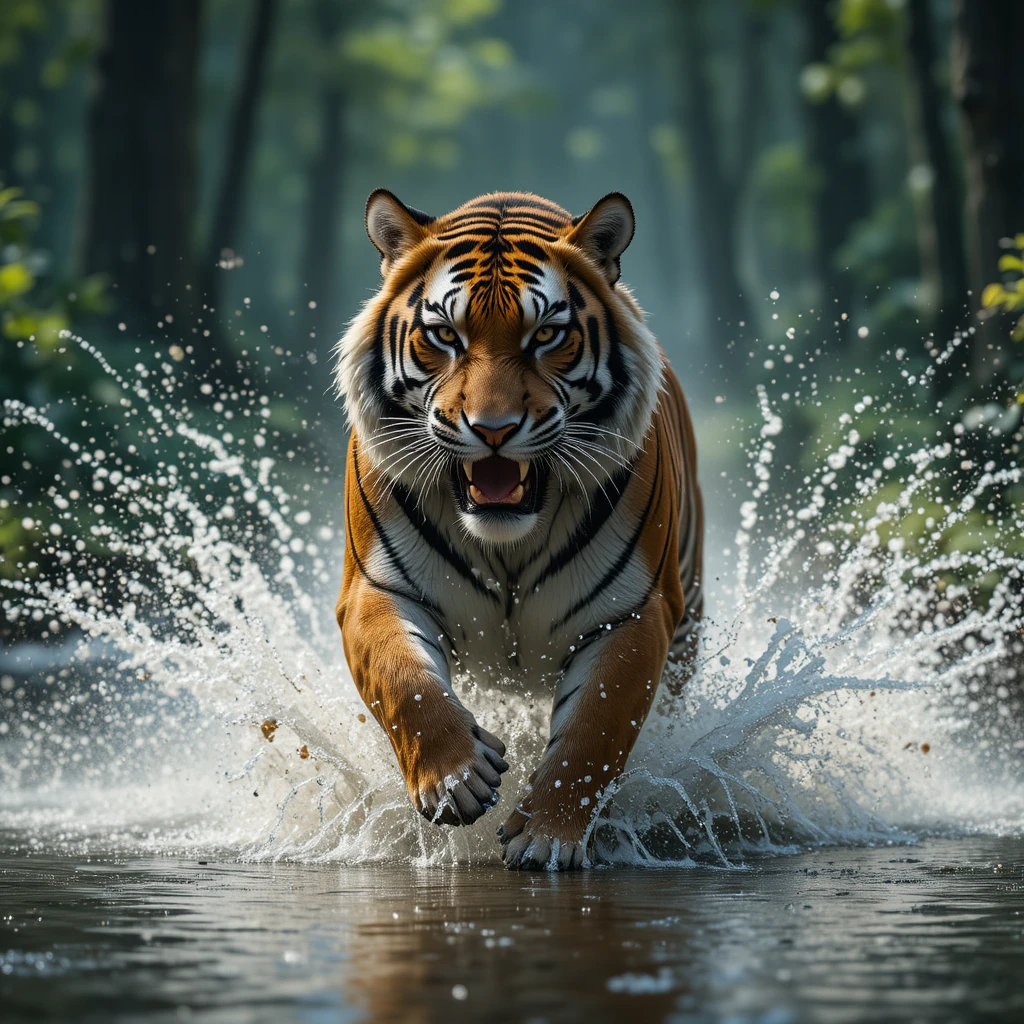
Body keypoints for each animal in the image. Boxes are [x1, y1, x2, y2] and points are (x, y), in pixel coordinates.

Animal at [334, 189, 703, 870]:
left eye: (547, 335)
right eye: (445, 335)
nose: (494, 429)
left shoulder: (633, 611)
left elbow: (596, 728)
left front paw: (547, 838)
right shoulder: (376, 588)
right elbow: (405, 682)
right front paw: (456, 781)